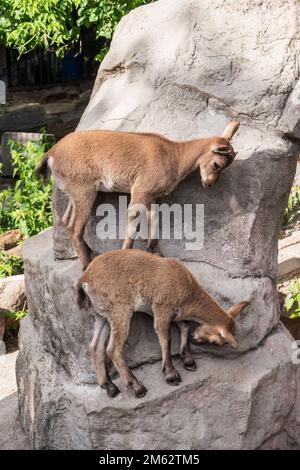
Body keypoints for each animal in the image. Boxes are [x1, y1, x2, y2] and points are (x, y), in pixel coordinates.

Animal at [36, 120, 240, 268]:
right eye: (217, 164)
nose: (210, 184)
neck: (174, 156)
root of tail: (51, 153)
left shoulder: (153, 197)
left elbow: (154, 220)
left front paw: (154, 252)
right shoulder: (140, 190)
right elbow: (133, 222)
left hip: (75, 194)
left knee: (66, 220)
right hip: (84, 191)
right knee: (76, 228)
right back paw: (87, 265)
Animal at [77, 248, 248, 398]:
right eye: (217, 341)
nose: (195, 339)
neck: (187, 289)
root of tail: (85, 280)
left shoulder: (175, 313)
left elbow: (184, 326)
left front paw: (188, 360)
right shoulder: (161, 308)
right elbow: (166, 338)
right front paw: (171, 375)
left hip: (102, 315)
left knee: (95, 347)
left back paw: (110, 388)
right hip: (120, 310)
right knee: (113, 349)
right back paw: (137, 387)